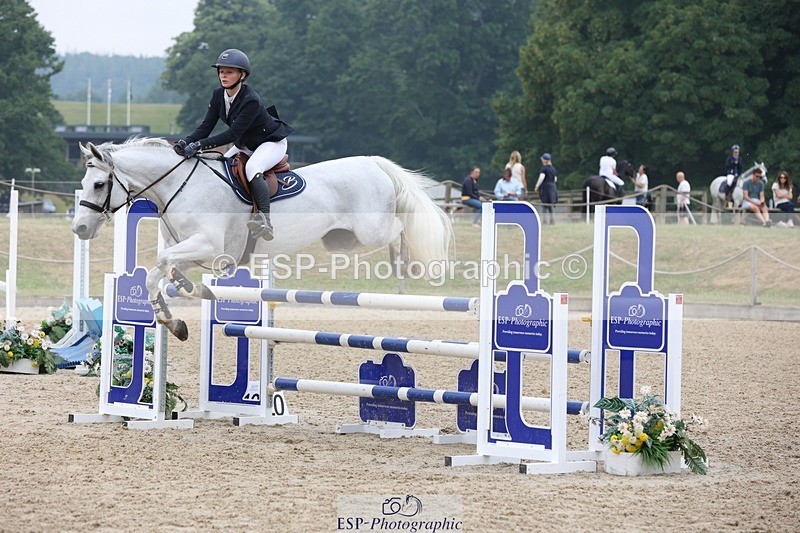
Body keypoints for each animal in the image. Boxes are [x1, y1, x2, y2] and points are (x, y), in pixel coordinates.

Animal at [72, 138, 453, 341]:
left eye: (100, 184)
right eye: (86, 182)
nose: (80, 229)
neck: (179, 184)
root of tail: (374, 163)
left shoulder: (209, 245)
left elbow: (159, 267)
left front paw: (174, 316)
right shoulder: (200, 252)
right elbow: (167, 271)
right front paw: (188, 297)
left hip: (369, 230)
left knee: (400, 228)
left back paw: (402, 267)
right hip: (341, 240)